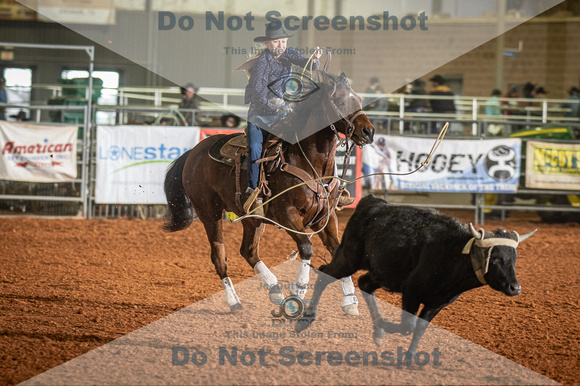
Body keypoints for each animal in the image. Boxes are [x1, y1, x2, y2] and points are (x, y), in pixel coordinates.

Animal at [161, 71, 374, 314]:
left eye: (358, 100)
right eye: (340, 101)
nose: (368, 131)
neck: (309, 163)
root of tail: (193, 152)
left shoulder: (326, 217)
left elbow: (337, 249)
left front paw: (349, 300)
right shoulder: (288, 214)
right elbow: (306, 248)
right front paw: (299, 289)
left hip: (252, 218)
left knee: (248, 251)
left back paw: (274, 290)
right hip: (209, 212)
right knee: (219, 256)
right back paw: (235, 302)